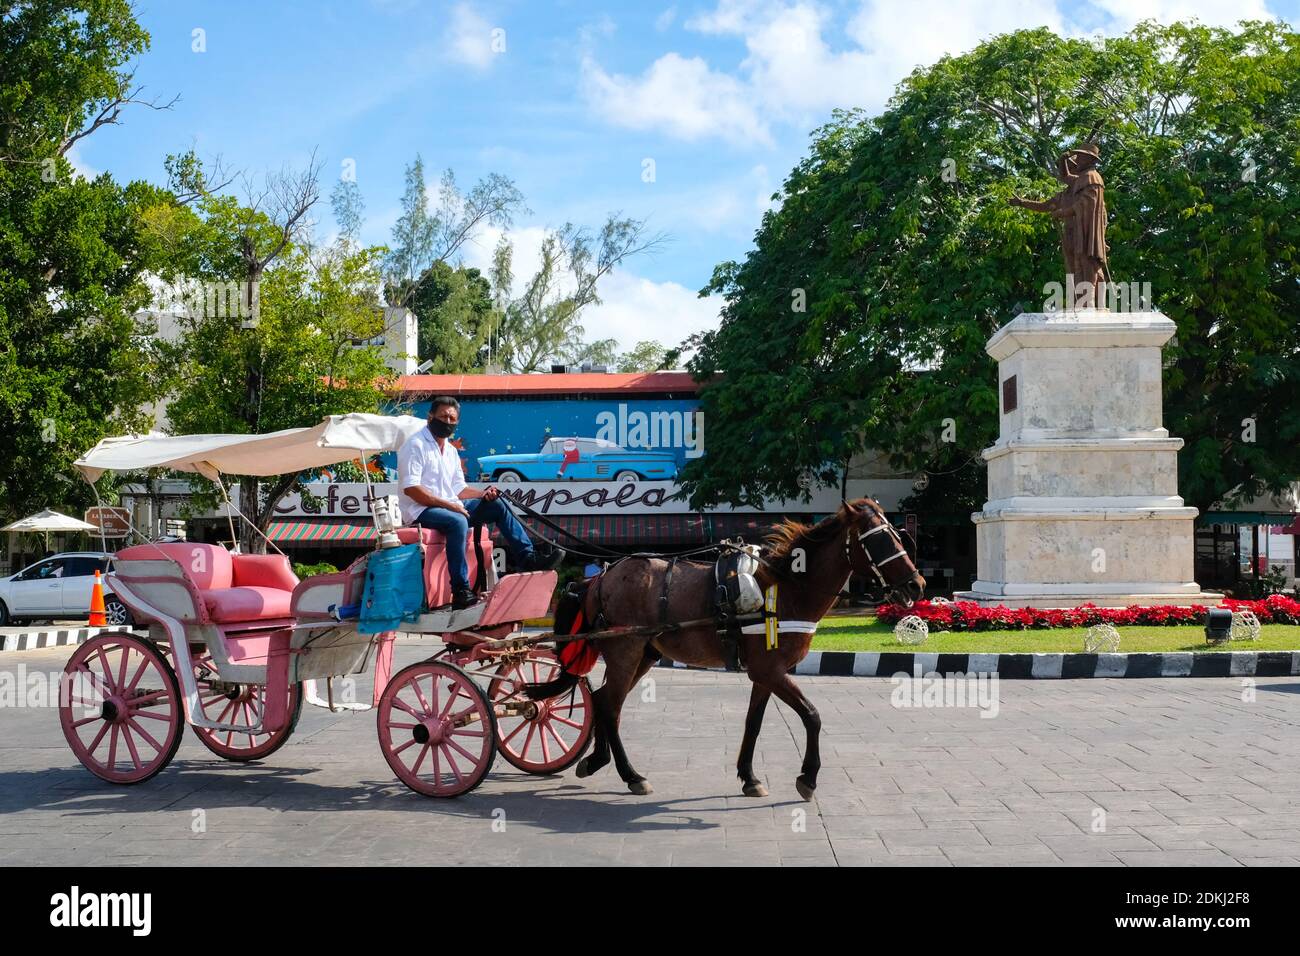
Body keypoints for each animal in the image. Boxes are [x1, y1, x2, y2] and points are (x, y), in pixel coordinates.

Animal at [527, 496, 925, 806]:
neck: (787, 589)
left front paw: (749, 777)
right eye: (878, 540)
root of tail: (599, 577)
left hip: (643, 653)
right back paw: (631, 774)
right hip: (625, 650)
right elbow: (812, 716)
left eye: (898, 535)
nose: (917, 585)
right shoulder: (771, 671)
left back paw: (598, 760)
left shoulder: (765, 674)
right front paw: (807, 778)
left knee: (605, 700)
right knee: (609, 704)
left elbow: (754, 722)